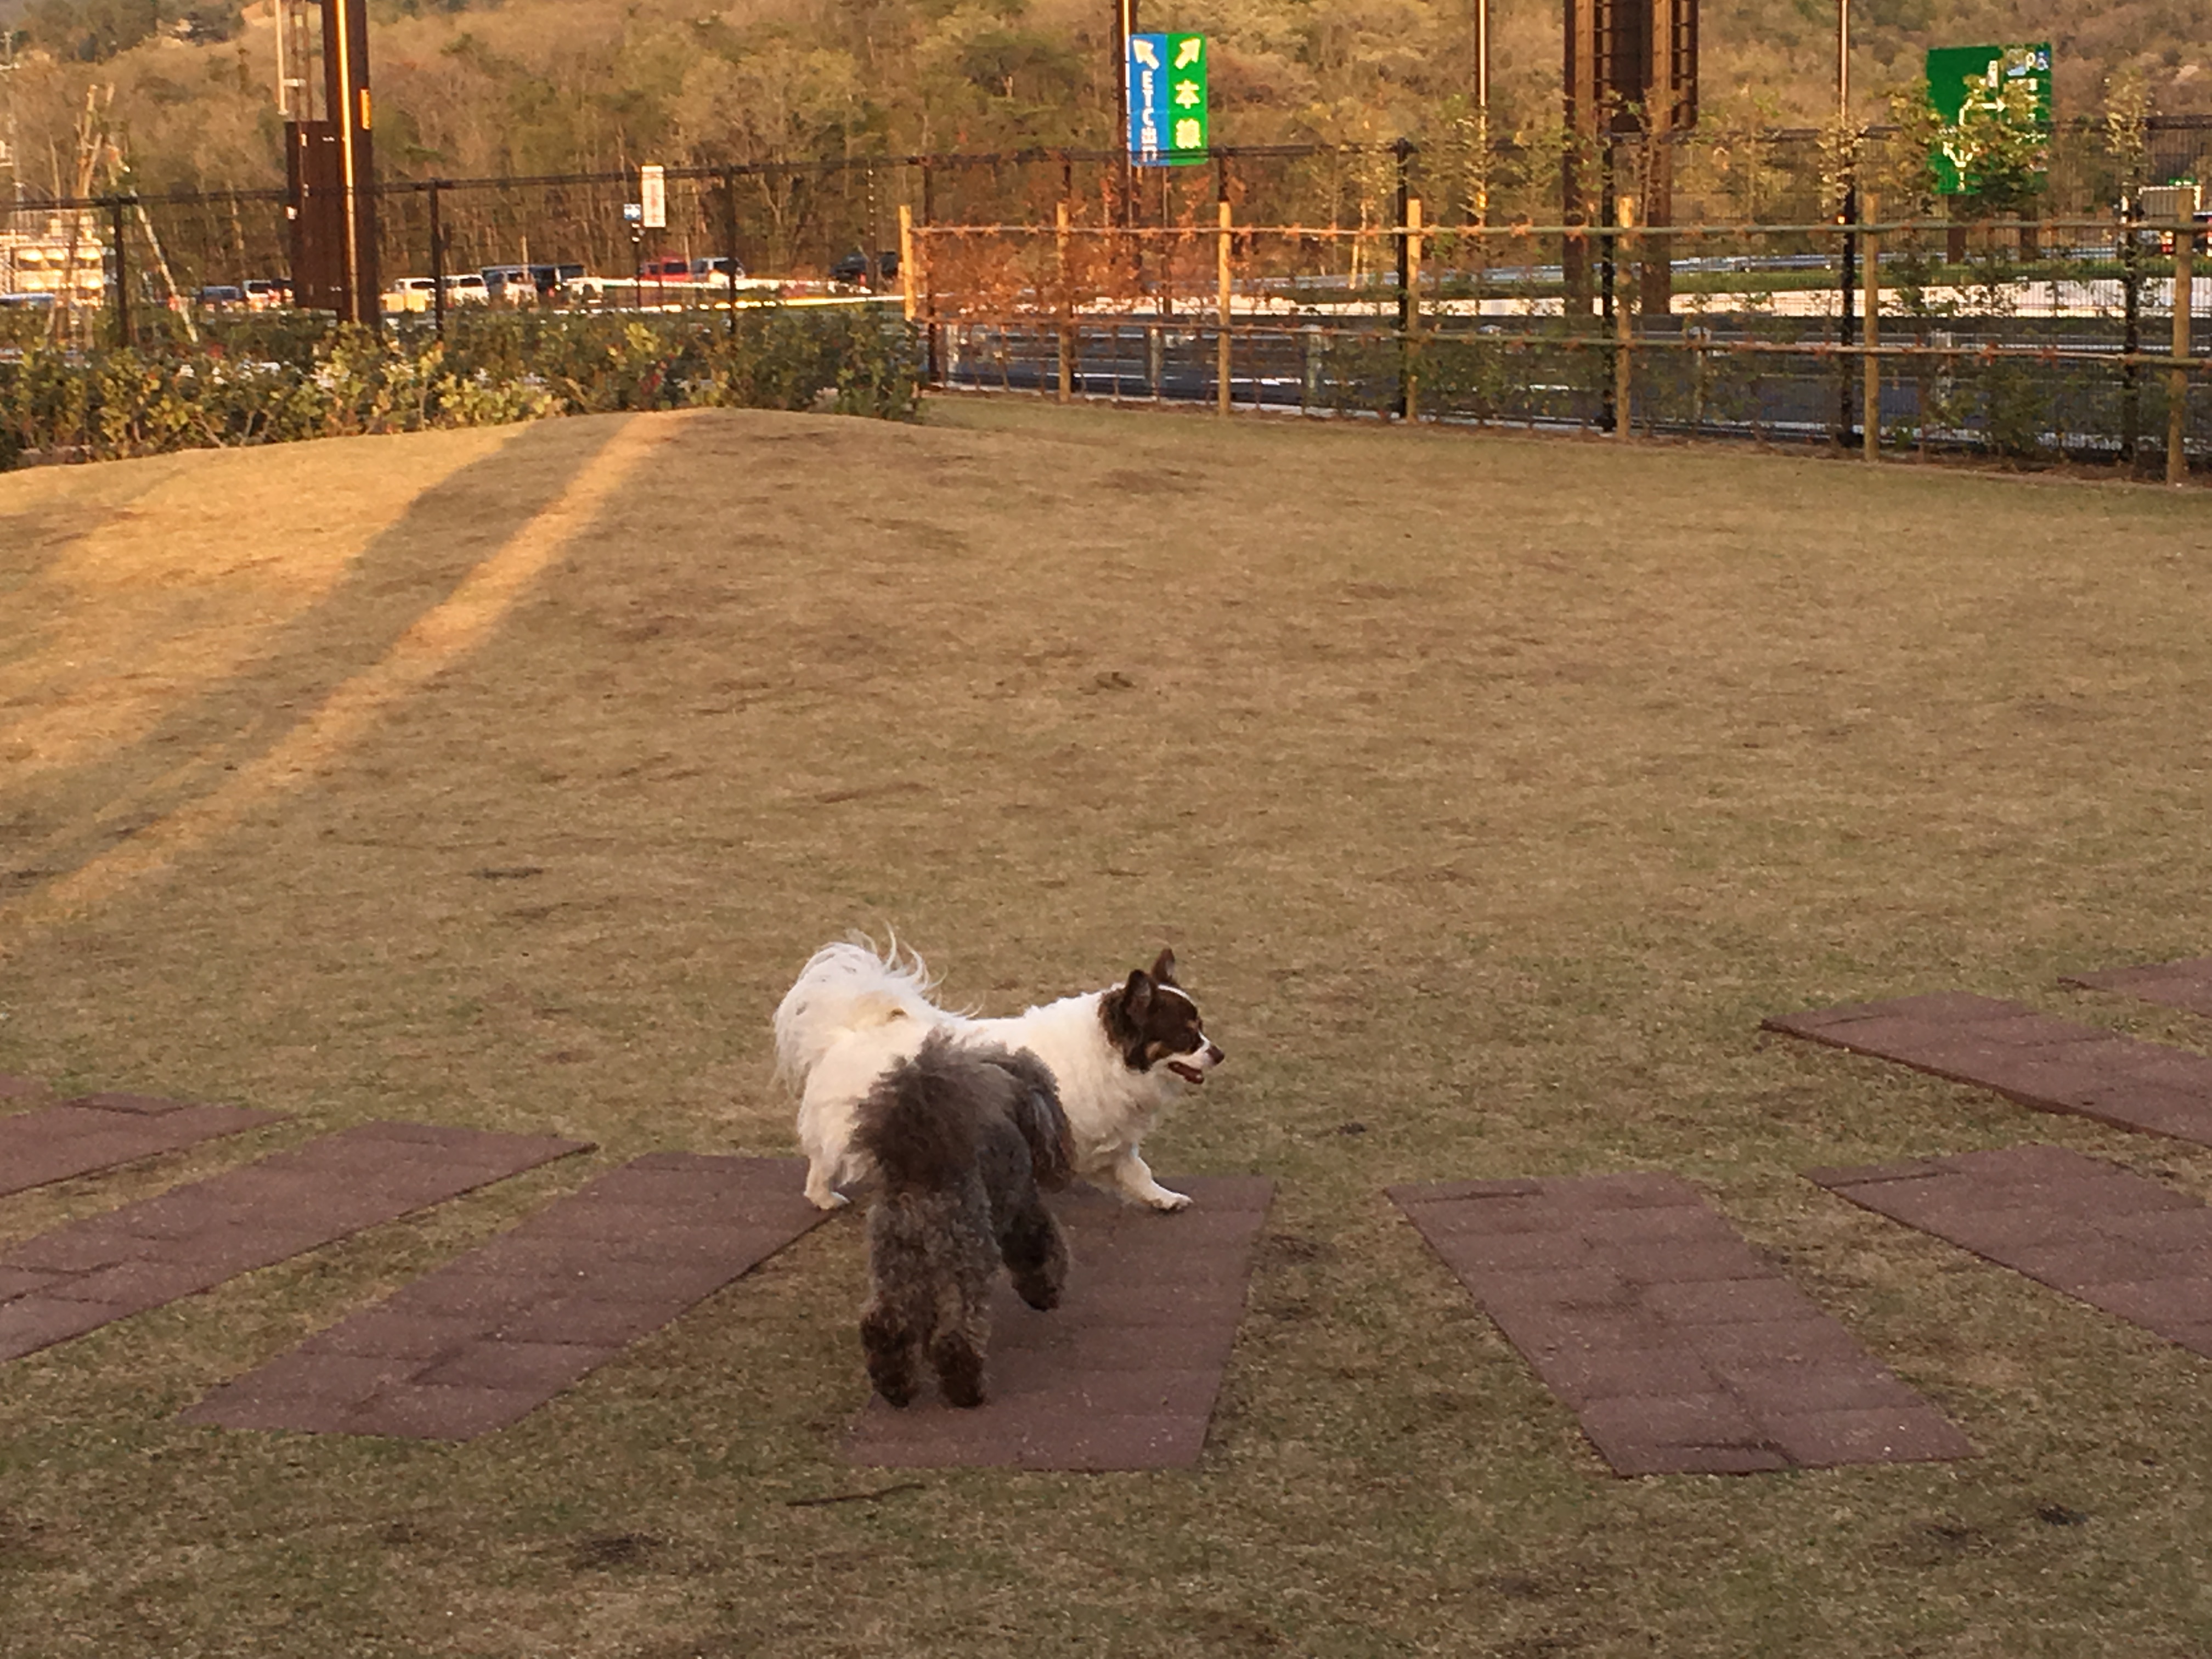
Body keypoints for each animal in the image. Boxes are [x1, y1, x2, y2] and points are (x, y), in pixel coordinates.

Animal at [774, 942, 1229, 1212]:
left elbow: (1137, 1171)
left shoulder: (1107, 1139)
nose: (1219, 1054)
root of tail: (851, 1030)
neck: (1108, 1053)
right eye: (1187, 1036)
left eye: (1203, 1029)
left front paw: (1163, 1198)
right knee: (827, 1158)